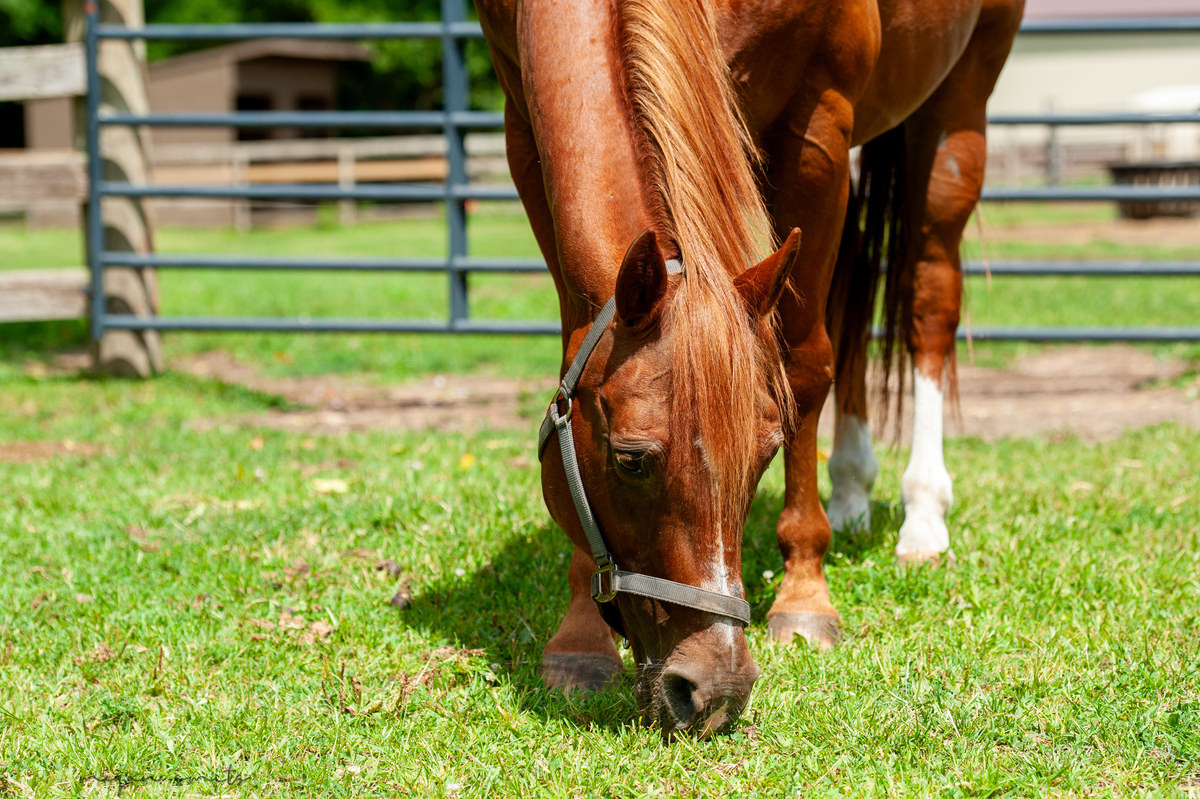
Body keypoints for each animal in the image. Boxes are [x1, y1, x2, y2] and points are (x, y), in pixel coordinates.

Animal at [476, 0, 1023, 734]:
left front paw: (805, 595)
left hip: (957, 106)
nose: (716, 687)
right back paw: (851, 491)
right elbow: (573, 344)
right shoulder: (521, 124)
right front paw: (579, 638)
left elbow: (804, 366)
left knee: (927, 300)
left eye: (765, 452)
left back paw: (923, 514)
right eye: (629, 459)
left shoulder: (819, 120)